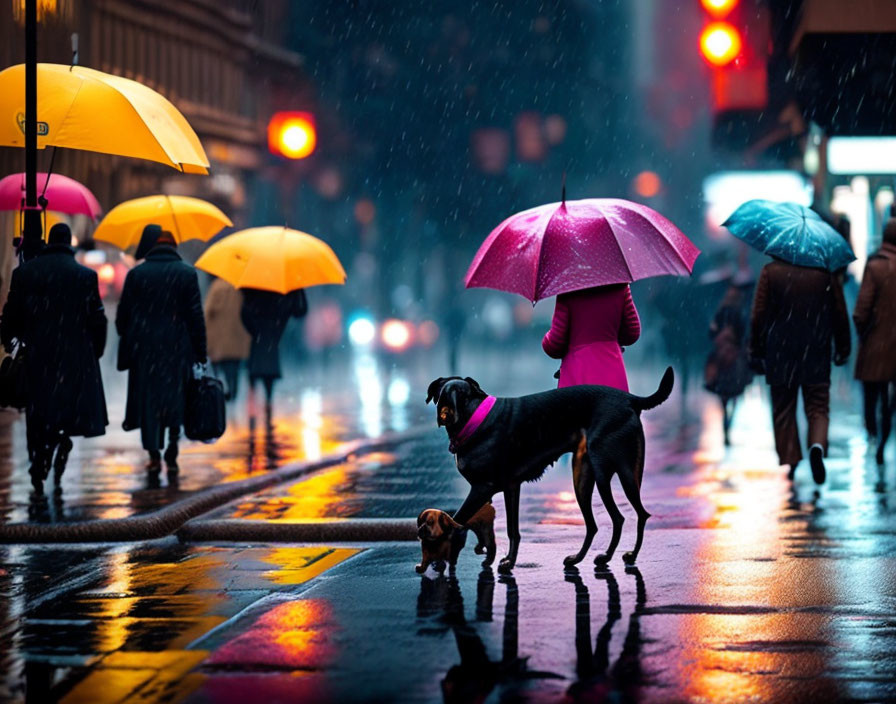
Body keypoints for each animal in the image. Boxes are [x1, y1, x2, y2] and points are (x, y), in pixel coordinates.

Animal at [428, 368, 672, 572]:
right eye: (441, 394)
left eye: (463, 395)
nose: (446, 413)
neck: (474, 420)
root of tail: (631, 399)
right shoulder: (510, 487)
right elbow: (510, 528)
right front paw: (505, 559)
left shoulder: (481, 488)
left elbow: (457, 520)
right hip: (583, 477)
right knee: (595, 524)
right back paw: (579, 559)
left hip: (611, 473)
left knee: (628, 516)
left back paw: (623, 556)